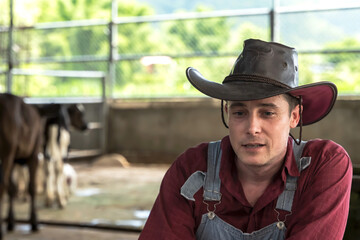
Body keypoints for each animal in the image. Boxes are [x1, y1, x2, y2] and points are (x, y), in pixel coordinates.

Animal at [0, 93, 42, 238]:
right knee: (2, 184)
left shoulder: (14, 159)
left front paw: (11, 222)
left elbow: (12, 188)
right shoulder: (33, 154)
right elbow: (32, 187)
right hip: (7, 152)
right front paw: (34, 222)